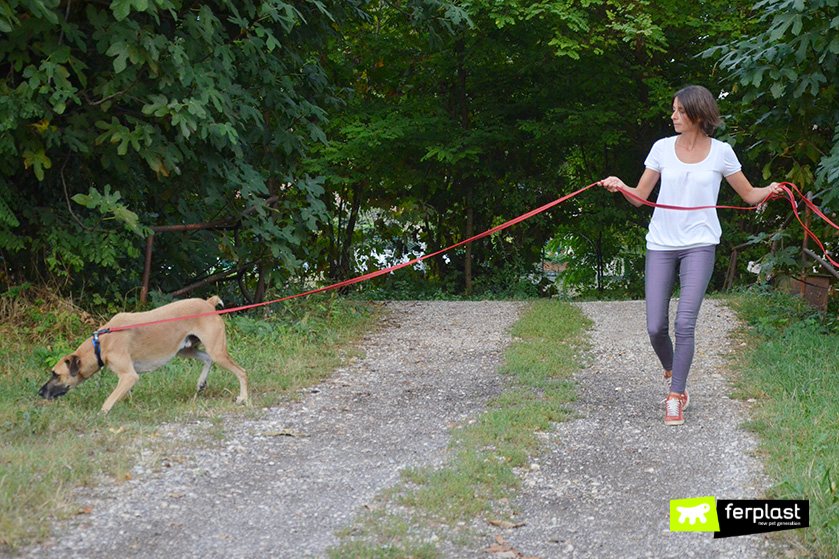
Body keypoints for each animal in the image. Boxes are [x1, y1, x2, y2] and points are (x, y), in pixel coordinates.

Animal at [39, 298, 248, 412]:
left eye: (56, 374)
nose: (40, 392)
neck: (101, 344)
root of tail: (208, 303)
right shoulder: (127, 378)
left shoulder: (129, 376)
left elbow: (108, 401)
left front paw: (101, 415)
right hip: (185, 349)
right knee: (207, 358)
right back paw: (201, 382)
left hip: (217, 351)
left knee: (241, 372)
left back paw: (243, 398)